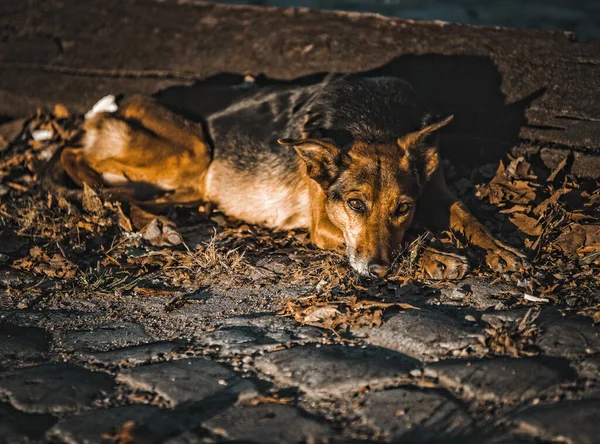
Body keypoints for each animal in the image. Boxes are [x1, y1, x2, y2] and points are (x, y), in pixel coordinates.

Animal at [61, 75, 524, 280]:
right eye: (355, 204)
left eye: (403, 207)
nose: (377, 270)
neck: (373, 120)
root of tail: (118, 102)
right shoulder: (324, 227)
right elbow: (409, 238)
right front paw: (437, 256)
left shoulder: (435, 193)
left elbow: (467, 215)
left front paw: (500, 248)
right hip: (194, 150)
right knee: (72, 154)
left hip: (190, 184)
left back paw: (155, 222)